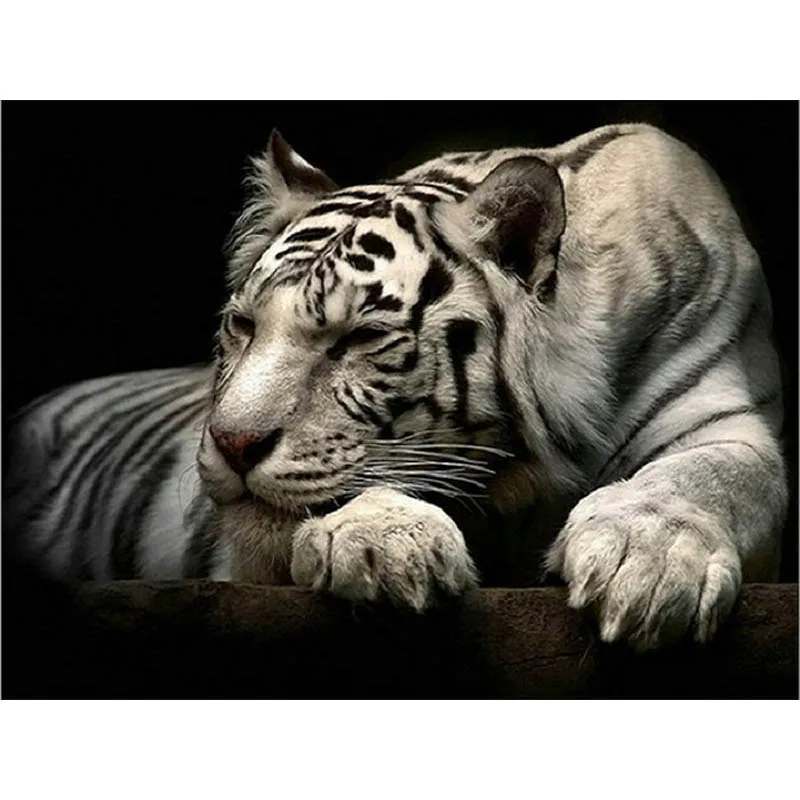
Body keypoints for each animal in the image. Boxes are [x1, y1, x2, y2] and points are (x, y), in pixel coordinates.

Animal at [5, 122, 786, 651]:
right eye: (243, 325)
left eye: (357, 339)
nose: (231, 444)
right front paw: (383, 543)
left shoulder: (724, 416)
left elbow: (708, 477)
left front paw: (647, 563)